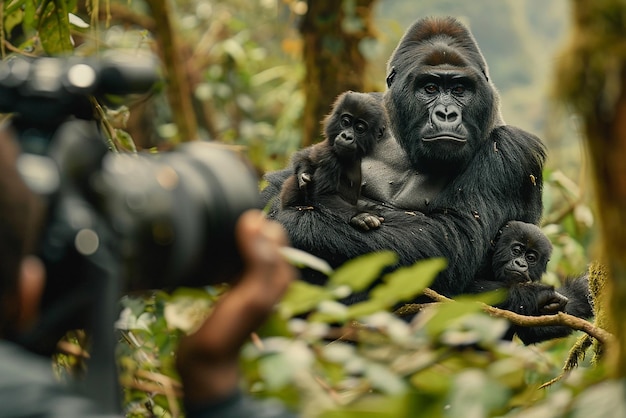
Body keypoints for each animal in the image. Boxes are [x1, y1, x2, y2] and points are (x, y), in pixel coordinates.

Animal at [280, 90, 386, 232]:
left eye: (359, 128)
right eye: (345, 122)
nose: (346, 136)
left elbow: (304, 156)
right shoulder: (328, 157)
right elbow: (324, 196)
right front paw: (360, 215)